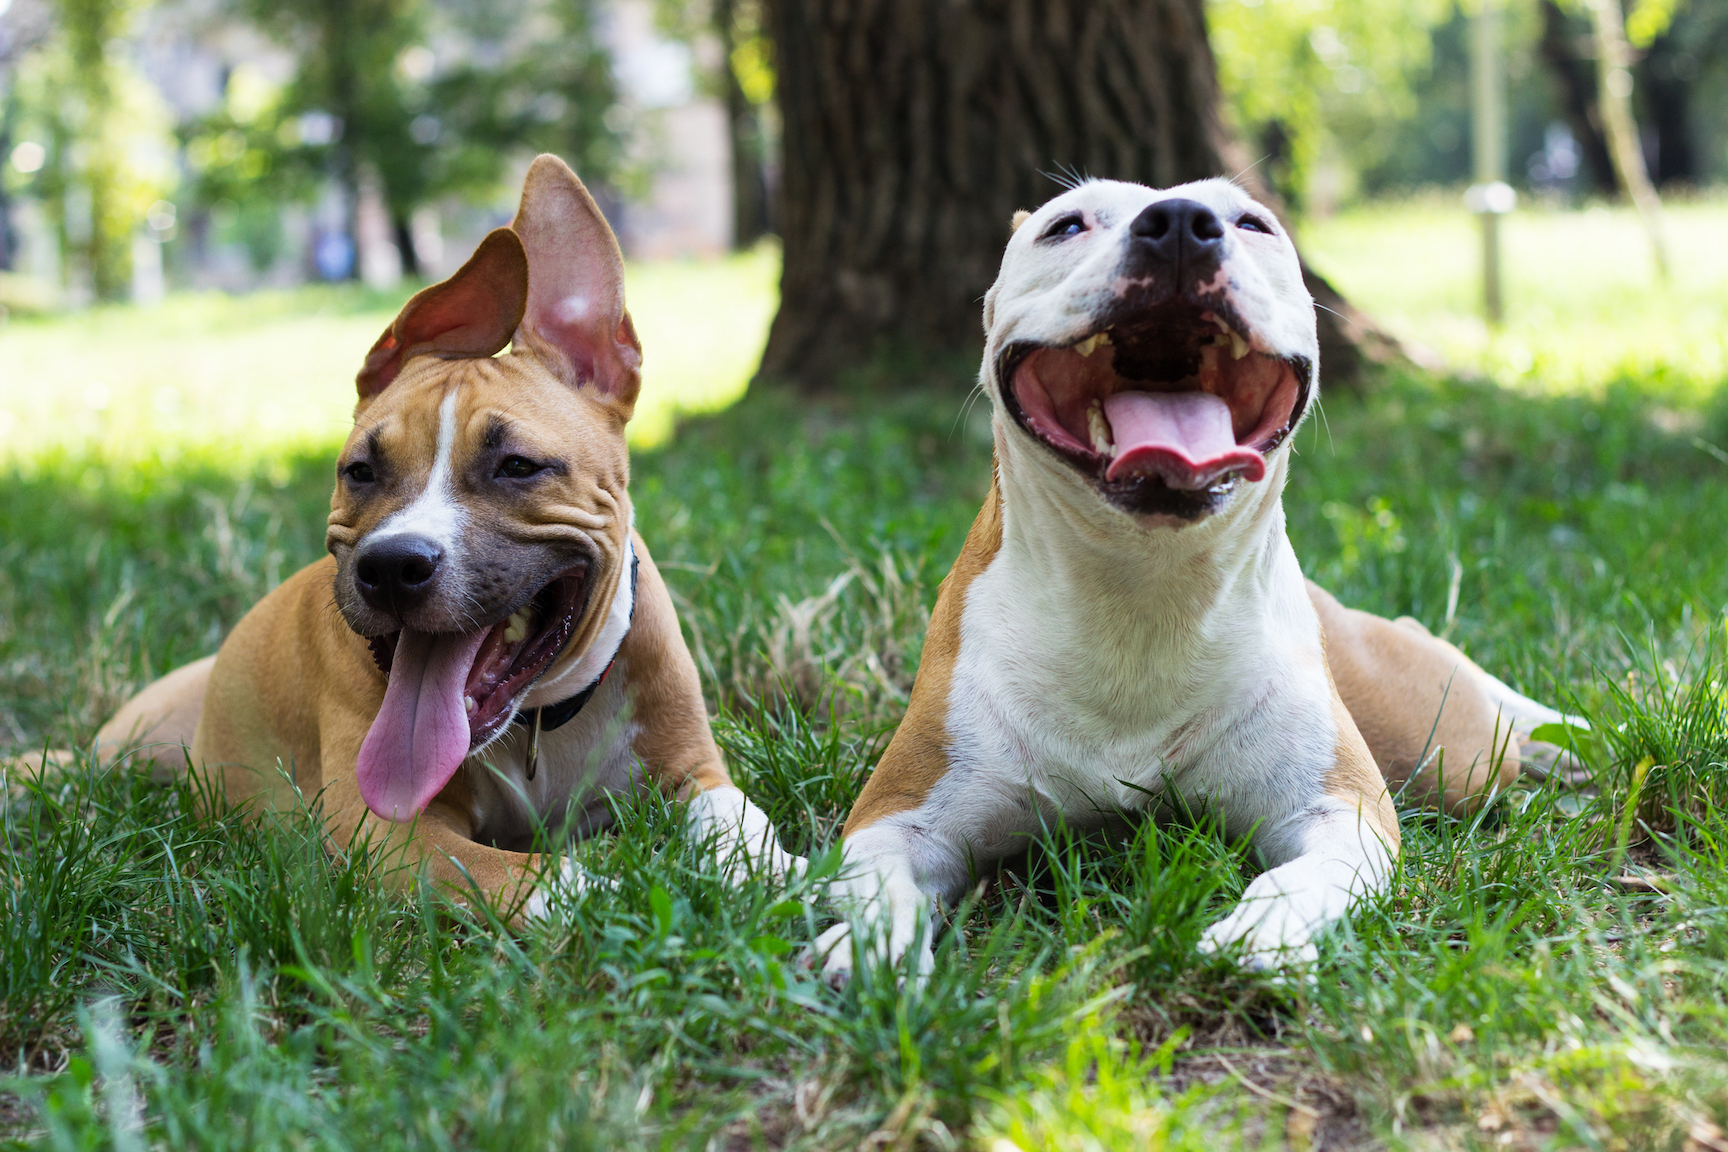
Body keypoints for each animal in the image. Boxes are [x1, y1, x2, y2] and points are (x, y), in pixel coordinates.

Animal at [104, 152, 805, 911]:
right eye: (361, 471)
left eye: (517, 466)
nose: (390, 566)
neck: (536, 720)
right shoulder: (389, 832)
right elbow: (534, 875)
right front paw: (616, 890)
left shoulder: (691, 768)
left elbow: (736, 815)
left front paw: (790, 874)